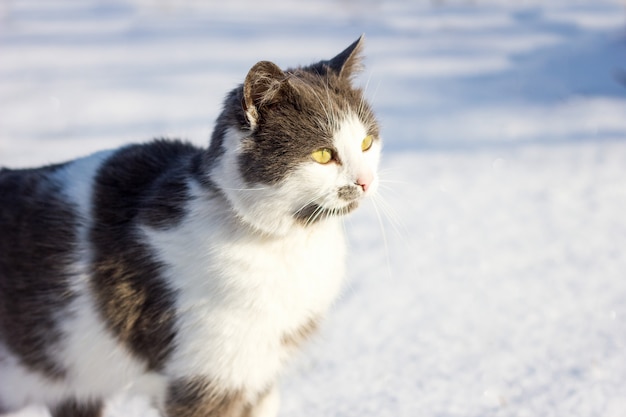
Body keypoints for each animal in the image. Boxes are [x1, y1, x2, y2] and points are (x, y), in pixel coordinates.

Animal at [0, 36, 380, 416]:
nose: (365, 181)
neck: (287, 244)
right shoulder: (209, 376)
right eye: (322, 155)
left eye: (366, 142)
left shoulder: (259, 375)